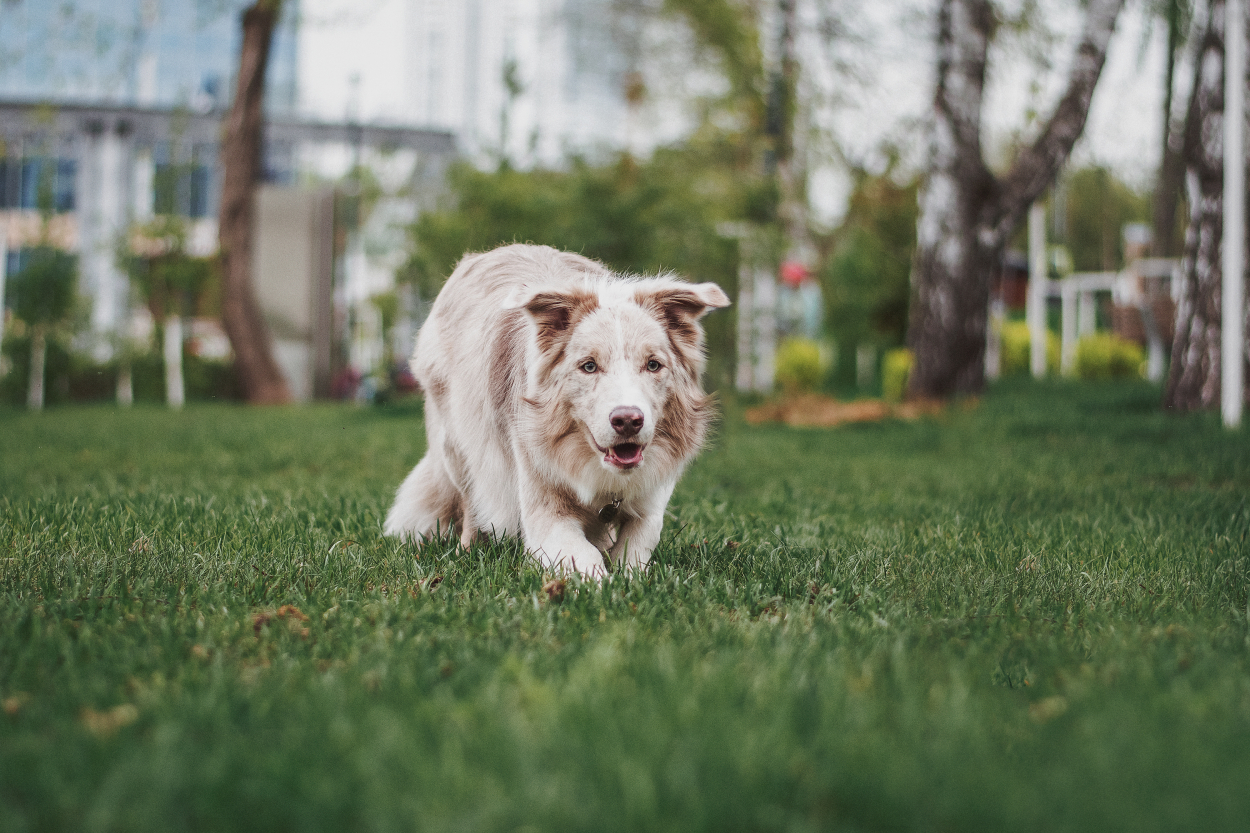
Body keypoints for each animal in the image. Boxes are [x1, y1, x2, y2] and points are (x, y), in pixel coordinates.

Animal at [383, 243, 730, 576]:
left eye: (653, 365)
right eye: (588, 366)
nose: (628, 421)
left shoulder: (651, 496)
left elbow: (636, 547)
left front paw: (627, 574)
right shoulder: (544, 509)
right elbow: (586, 558)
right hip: (459, 449)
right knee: (471, 503)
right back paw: (465, 553)